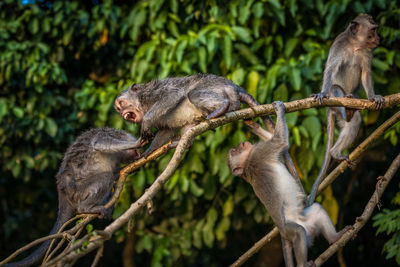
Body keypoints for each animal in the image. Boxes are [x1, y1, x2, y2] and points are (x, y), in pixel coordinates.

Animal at [3, 128, 139, 267]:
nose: (136, 154)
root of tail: (62, 192)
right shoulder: (109, 133)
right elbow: (99, 143)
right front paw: (136, 143)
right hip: (78, 190)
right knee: (106, 177)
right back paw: (85, 208)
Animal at [228, 101, 350, 266]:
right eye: (234, 151)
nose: (241, 144)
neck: (246, 165)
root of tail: (282, 232)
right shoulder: (259, 153)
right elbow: (280, 142)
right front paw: (279, 109)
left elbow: (275, 140)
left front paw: (252, 124)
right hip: (289, 230)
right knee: (298, 232)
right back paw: (303, 263)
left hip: (307, 224)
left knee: (317, 210)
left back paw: (335, 238)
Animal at [310, 13, 384, 206]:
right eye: (373, 30)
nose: (379, 39)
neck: (355, 45)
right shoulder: (338, 46)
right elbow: (330, 70)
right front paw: (321, 93)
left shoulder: (367, 53)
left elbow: (366, 74)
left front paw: (374, 96)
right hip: (335, 105)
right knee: (335, 88)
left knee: (354, 121)